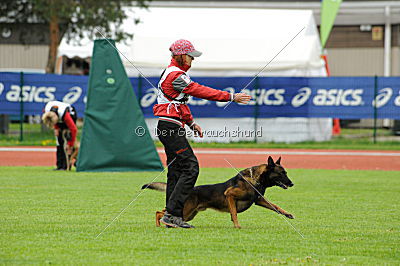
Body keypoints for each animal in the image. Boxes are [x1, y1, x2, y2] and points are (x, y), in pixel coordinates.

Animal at [143, 156, 294, 229]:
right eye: (281, 173)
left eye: (285, 172)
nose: (292, 184)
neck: (256, 179)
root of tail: (191, 190)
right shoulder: (230, 195)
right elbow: (234, 213)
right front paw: (237, 226)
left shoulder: (259, 200)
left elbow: (275, 206)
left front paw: (287, 214)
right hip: (186, 211)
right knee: (159, 212)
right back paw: (159, 224)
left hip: (189, 214)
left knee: (165, 213)